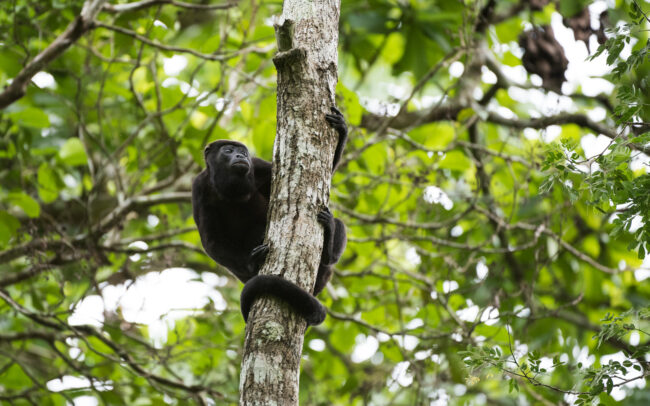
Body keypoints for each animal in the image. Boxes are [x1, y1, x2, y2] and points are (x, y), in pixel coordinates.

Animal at [192, 107, 347, 325]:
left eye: (244, 152)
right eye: (228, 150)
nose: (240, 155)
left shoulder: (256, 166)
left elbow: (325, 170)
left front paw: (342, 128)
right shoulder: (199, 188)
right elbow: (211, 241)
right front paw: (252, 262)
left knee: (336, 227)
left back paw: (329, 246)